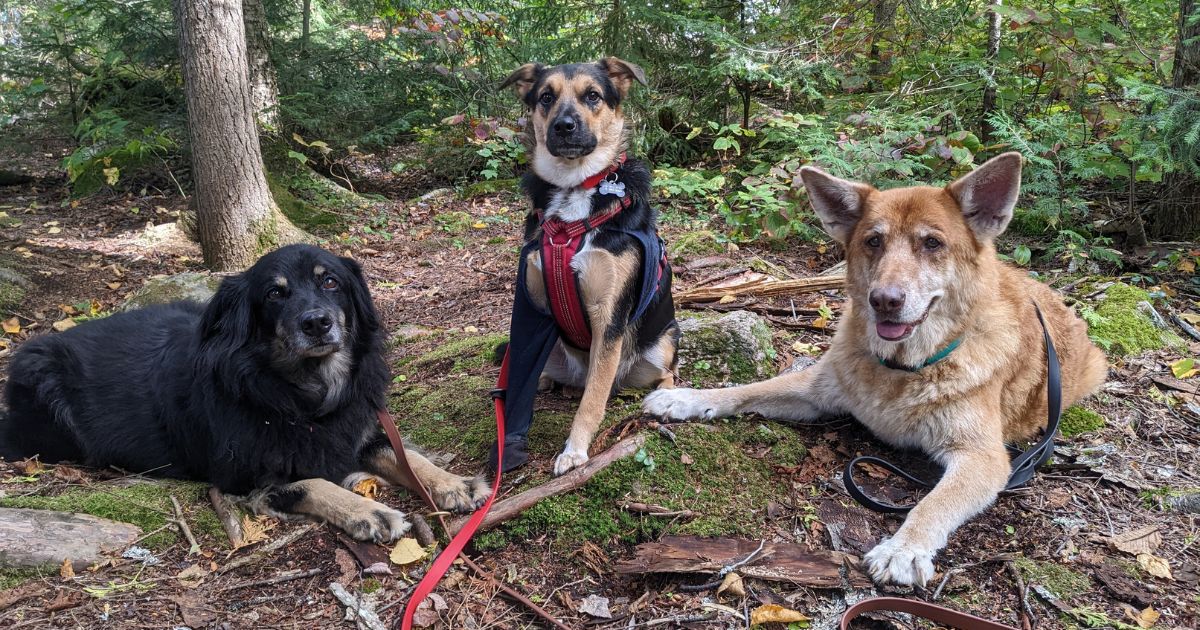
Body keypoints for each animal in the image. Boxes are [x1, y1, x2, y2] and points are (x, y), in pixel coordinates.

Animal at [1, 244, 487, 540]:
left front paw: (452, 483)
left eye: (330, 281)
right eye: (274, 293)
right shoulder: (245, 475)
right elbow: (311, 482)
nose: (316, 323)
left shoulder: (356, 431)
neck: (299, 396)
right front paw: (366, 511)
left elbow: (407, 456)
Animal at [489, 58, 676, 475]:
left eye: (593, 95)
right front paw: (509, 444)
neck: (574, 191)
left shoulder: (609, 315)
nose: (564, 126)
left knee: (662, 373)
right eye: (546, 97)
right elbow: (520, 376)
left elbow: (592, 400)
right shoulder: (529, 308)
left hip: (663, 343)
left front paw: (574, 450)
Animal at [648, 152, 1104, 585]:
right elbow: (750, 389)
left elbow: (933, 502)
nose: (884, 300)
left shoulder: (983, 457)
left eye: (932, 243)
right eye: (873, 241)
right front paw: (685, 398)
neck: (904, 367)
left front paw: (904, 549)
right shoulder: (818, 390)